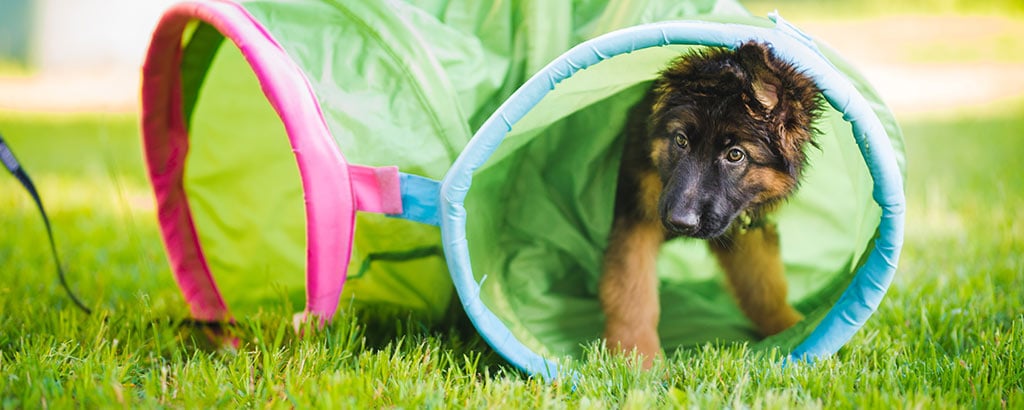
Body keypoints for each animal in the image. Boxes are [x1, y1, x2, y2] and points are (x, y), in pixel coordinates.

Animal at [598, 41, 823, 369]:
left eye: (735, 155)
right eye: (680, 140)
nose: (680, 222)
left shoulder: (744, 227)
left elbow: (763, 287)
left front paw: (792, 329)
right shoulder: (636, 215)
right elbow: (632, 293)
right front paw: (639, 361)